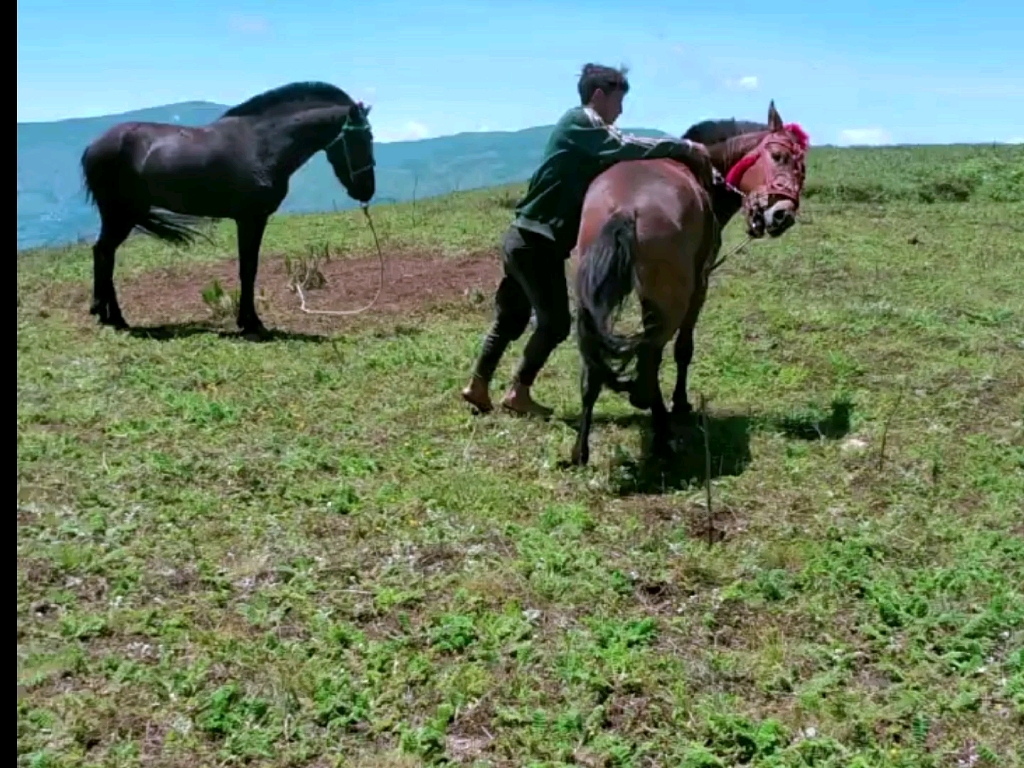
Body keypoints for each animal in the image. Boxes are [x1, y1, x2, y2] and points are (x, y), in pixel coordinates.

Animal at [80, 81, 376, 335]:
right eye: (359, 140)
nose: (367, 190)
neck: (262, 144)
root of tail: (93, 146)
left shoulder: (252, 219)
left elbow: (249, 268)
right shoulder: (250, 219)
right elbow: (248, 269)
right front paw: (251, 322)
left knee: (104, 253)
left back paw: (108, 315)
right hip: (119, 214)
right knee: (104, 253)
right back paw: (113, 316)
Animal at [569, 101, 806, 462]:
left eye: (802, 170)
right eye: (778, 156)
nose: (782, 216)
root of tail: (627, 207)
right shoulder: (700, 285)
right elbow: (684, 349)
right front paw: (680, 402)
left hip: (590, 306)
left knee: (594, 366)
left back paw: (581, 449)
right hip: (672, 301)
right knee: (650, 357)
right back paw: (661, 432)